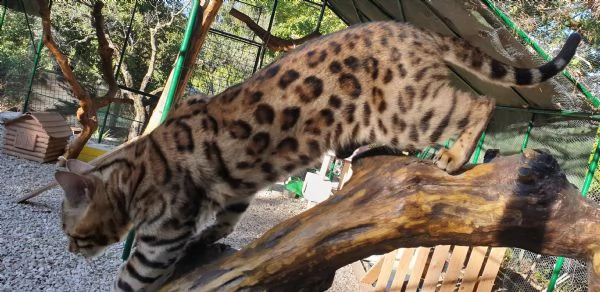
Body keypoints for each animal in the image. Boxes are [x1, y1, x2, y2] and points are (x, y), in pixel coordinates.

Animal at [54, 21, 580, 290]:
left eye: (72, 232)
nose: (69, 250)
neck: (135, 173)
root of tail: (412, 27)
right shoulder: (233, 192)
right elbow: (223, 222)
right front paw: (207, 243)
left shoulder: (160, 233)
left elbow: (132, 276)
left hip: (408, 108)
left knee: (480, 102)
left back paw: (453, 157)